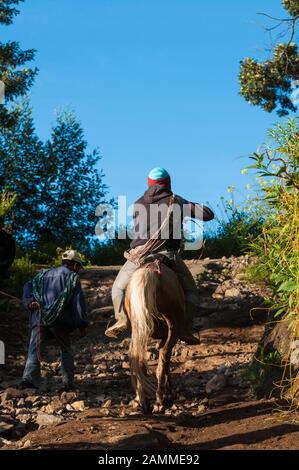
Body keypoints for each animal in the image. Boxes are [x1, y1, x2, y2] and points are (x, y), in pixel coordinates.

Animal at [123, 258, 185, 414]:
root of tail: (150, 271)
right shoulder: (168, 335)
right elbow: (166, 360)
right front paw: (169, 394)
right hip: (173, 328)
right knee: (163, 358)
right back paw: (159, 401)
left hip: (139, 329)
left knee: (137, 357)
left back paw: (142, 401)